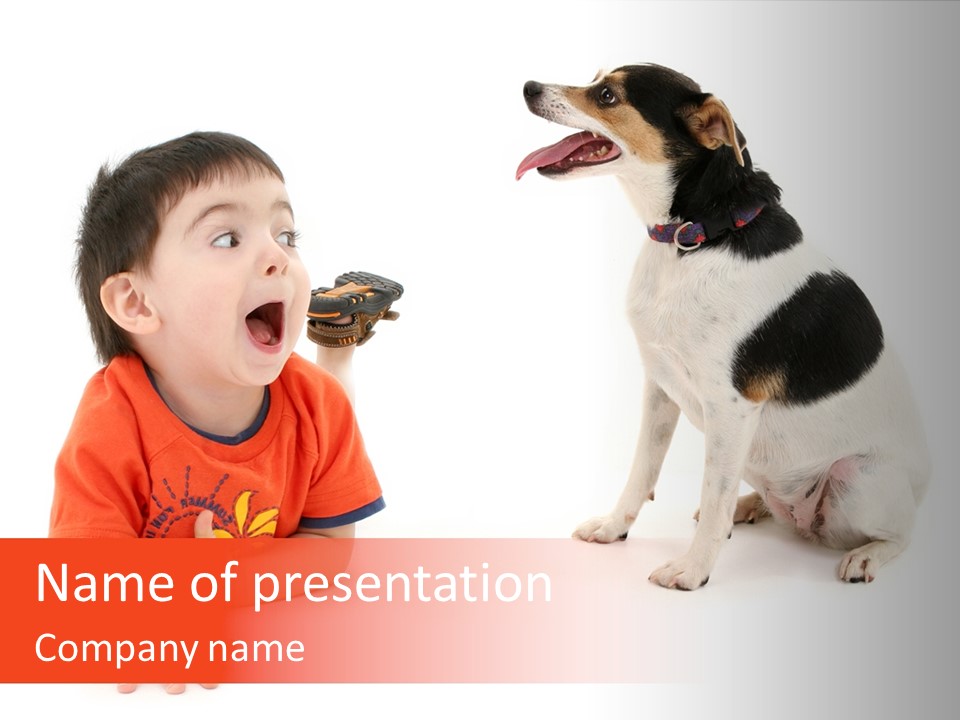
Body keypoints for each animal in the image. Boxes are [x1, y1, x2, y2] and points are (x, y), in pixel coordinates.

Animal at [516, 64, 928, 588]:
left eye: (608, 95)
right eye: (595, 79)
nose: (528, 87)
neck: (695, 238)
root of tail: (924, 483)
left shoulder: (732, 409)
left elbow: (713, 495)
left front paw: (692, 571)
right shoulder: (659, 388)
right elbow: (641, 472)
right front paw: (613, 528)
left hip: (856, 482)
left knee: (901, 535)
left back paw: (865, 555)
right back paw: (752, 506)